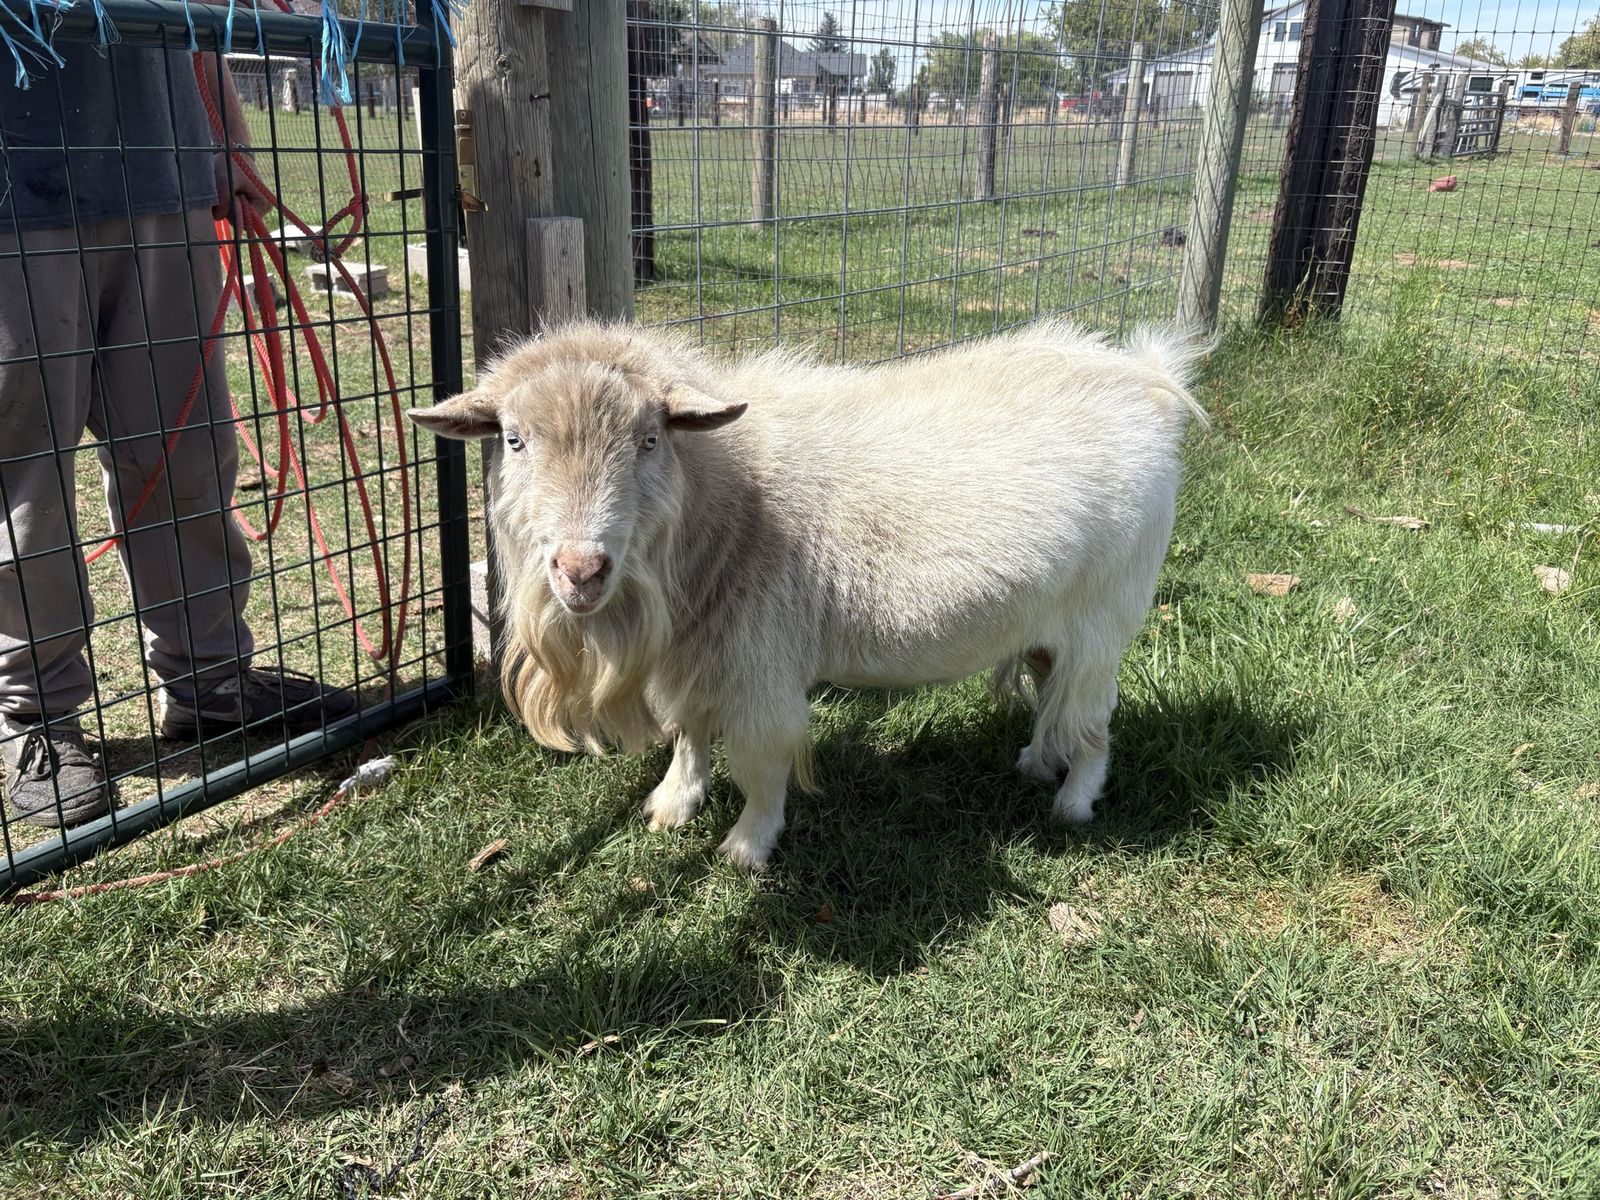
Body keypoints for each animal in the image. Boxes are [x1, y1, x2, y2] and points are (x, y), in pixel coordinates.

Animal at [408, 320, 1208, 869]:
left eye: (649, 438)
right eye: (513, 439)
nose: (581, 570)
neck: (730, 490)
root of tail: (1148, 382)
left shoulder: (760, 658)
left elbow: (760, 762)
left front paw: (747, 847)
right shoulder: (698, 650)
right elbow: (690, 731)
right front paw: (673, 803)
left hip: (1106, 613)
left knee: (1094, 714)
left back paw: (1075, 800)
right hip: (1049, 621)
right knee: (1052, 691)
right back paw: (1039, 762)